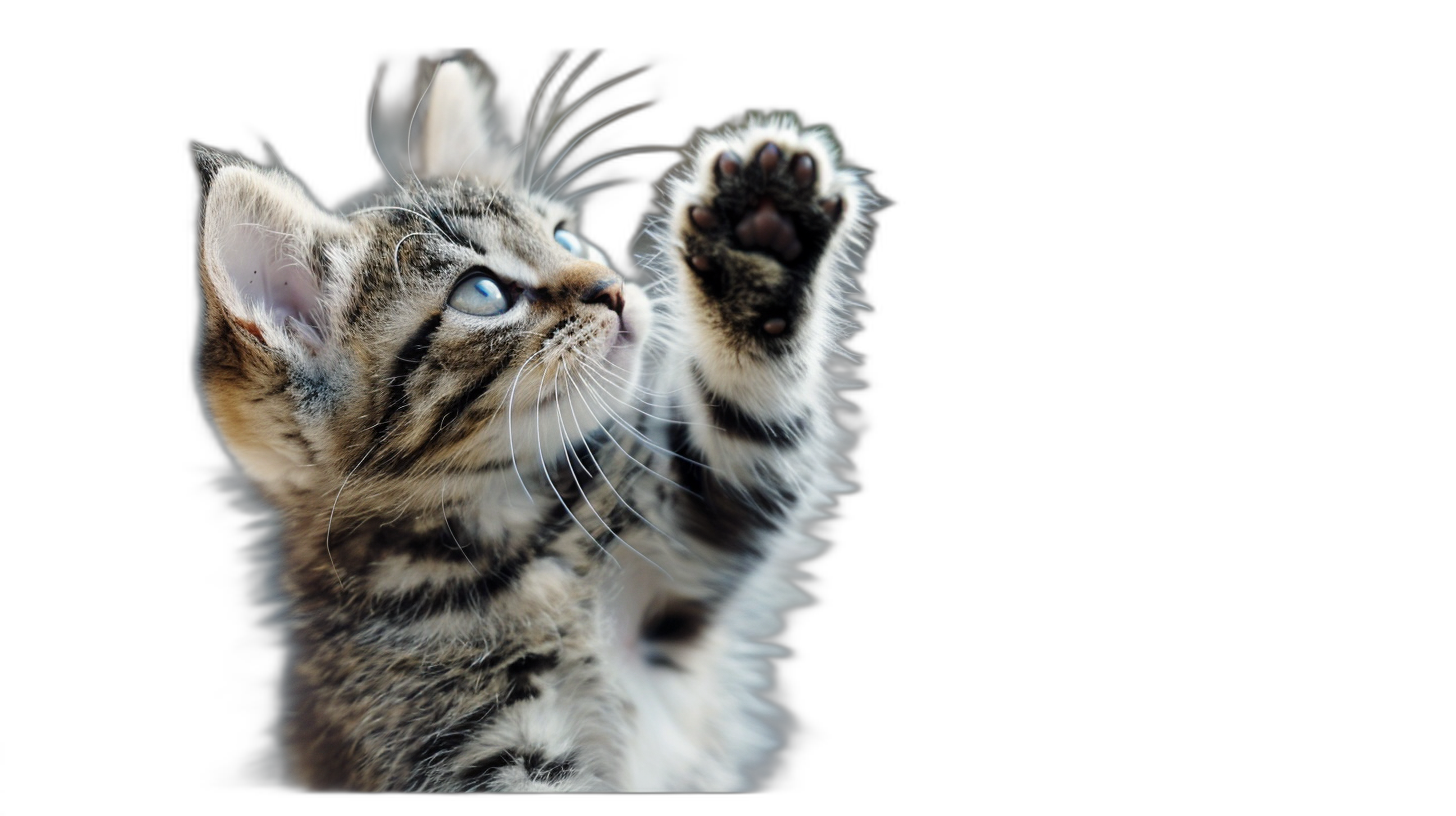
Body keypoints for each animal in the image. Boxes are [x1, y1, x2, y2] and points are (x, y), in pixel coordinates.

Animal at [193, 51, 873, 792]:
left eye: (566, 235)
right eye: (483, 293)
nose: (612, 287)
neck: (515, 547)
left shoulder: (683, 535)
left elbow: (746, 435)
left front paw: (763, 232)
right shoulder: (473, 750)